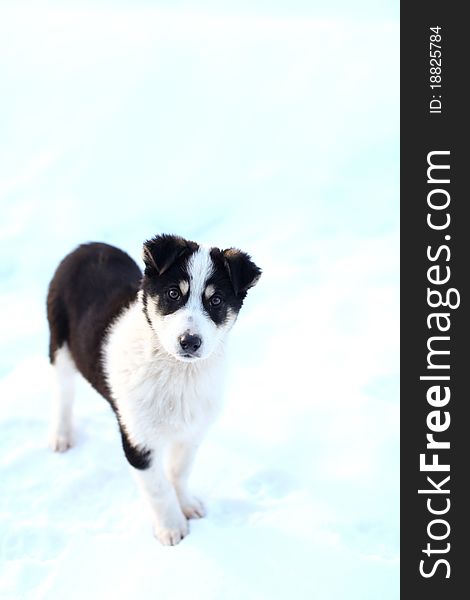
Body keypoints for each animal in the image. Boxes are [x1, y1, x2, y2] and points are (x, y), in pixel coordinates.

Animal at [46, 234, 260, 544]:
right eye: (173, 294)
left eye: (216, 300)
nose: (189, 342)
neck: (177, 372)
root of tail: (88, 246)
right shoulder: (138, 440)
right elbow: (157, 488)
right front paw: (172, 529)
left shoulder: (192, 431)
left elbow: (178, 471)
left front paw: (186, 505)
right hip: (59, 344)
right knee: (63, 393)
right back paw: (61, 436)